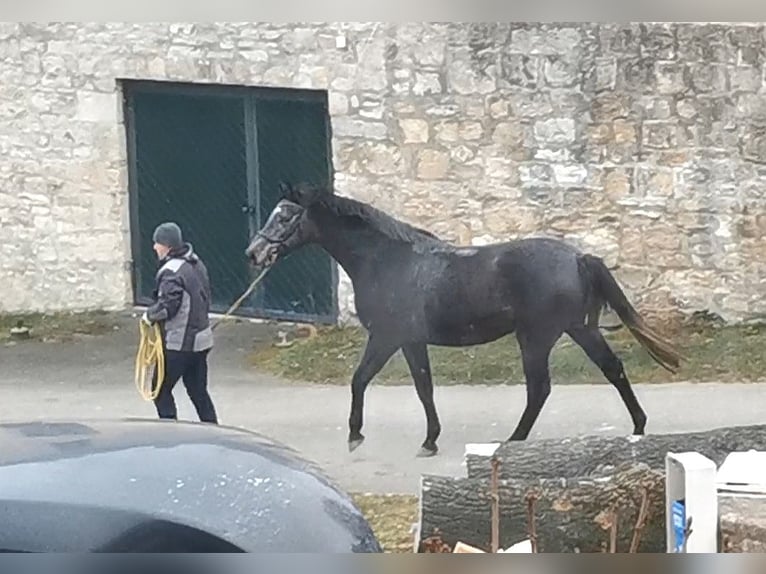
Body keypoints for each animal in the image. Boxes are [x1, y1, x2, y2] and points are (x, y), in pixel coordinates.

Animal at [245, 182, 684, 457]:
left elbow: (367, 380)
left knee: (539, 388)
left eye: (285, 216)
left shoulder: (390, 338)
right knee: (613, 369)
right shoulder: (409, 341)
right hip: (579, 329)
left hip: (537, 337)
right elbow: (420, 387)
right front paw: (427, 439)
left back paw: (513, 439)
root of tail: (578, 257)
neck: (387, 262)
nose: (253, 253)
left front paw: (360, 435)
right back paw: (639, 426)